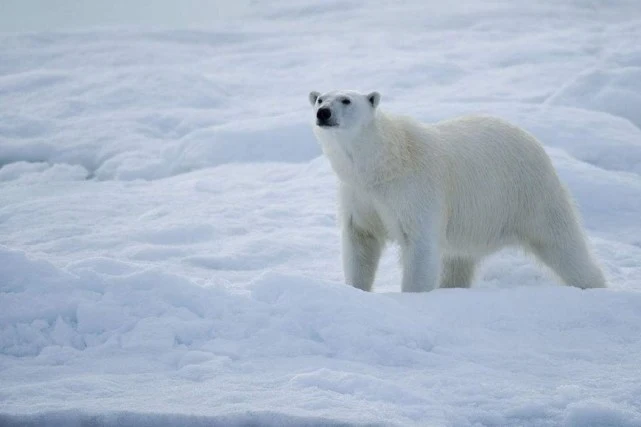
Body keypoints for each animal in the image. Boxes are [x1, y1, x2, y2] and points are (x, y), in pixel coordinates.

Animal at [310, 89, 604, 292]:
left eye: (346, 100)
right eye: (319, 98)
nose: (323, 112)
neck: (382, 163)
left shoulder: (414, 192)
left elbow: (419, 244)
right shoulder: (358, 194)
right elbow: (361, 241)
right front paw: (355, 289)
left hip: (529, 193)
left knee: (562, 244)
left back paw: (592, 285)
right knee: (458, 260)